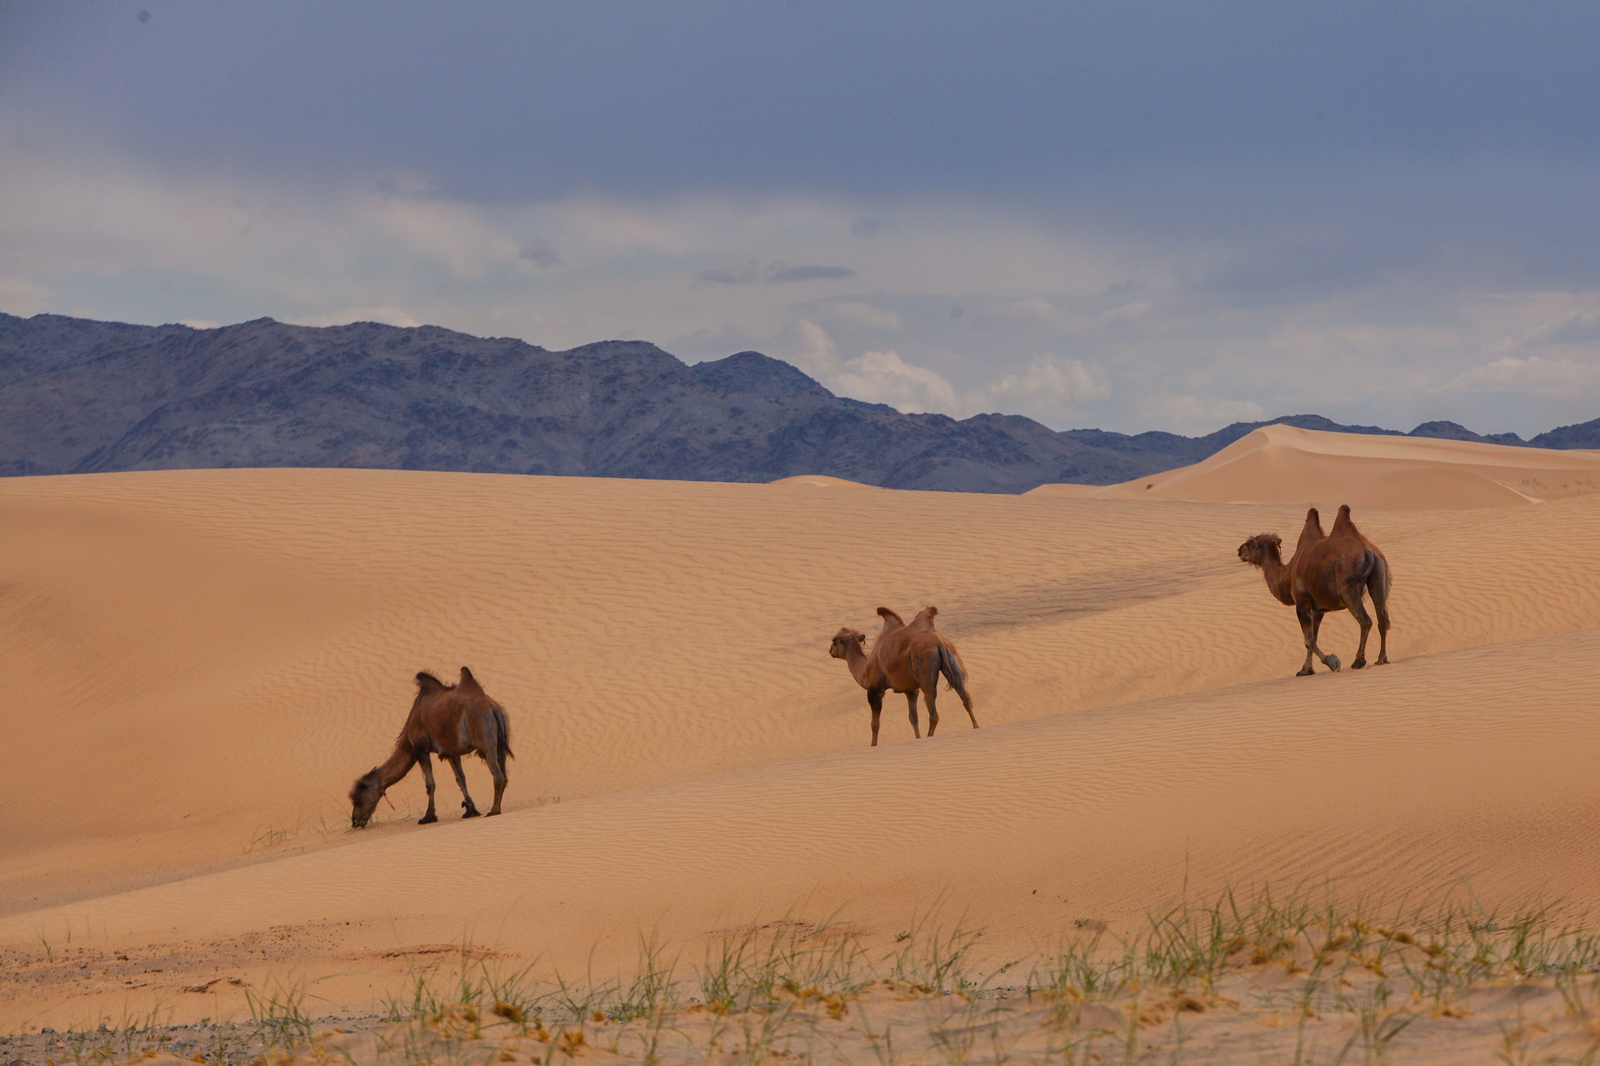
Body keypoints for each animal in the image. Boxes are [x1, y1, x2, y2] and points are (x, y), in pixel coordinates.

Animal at [350, 665, 512, 832]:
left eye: (358, 799)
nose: (354, 821)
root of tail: (493, 708)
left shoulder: (420, 748)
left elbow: (430, 784)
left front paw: (428, 817)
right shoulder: (451, 751)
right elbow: (460, 779)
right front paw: (470, 811)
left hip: (484, 736)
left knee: (497, 774)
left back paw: (493, 811)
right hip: (501, 742)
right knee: (504, 773)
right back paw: (497, 808)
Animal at [832, 601, 979, 742]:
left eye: (834, 640)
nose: (830, 650)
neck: (864, 670)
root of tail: (938, 641)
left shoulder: (875, 690)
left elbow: (875, 724)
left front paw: (873, 745)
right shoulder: (911, 690)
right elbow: (913, 718)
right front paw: (917, 737)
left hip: (924, 666)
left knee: (933, 712)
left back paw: (929, 736)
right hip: (952, 657)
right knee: (965, 697)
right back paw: (976, 727)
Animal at [1235, 505, 1388, 672]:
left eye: (1251, 542)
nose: (1239, 550)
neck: (1287, 574)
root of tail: (1368, 551)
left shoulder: (1302, 602)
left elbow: (1308, 640)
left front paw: (1331, 661)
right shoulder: (1318, 608)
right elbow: (1314, 637)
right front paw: (1306, 669)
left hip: (1348, 586)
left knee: (1365, 621)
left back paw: (1358, 661)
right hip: (1379, 575)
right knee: (1383, 618)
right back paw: (1381, 659)